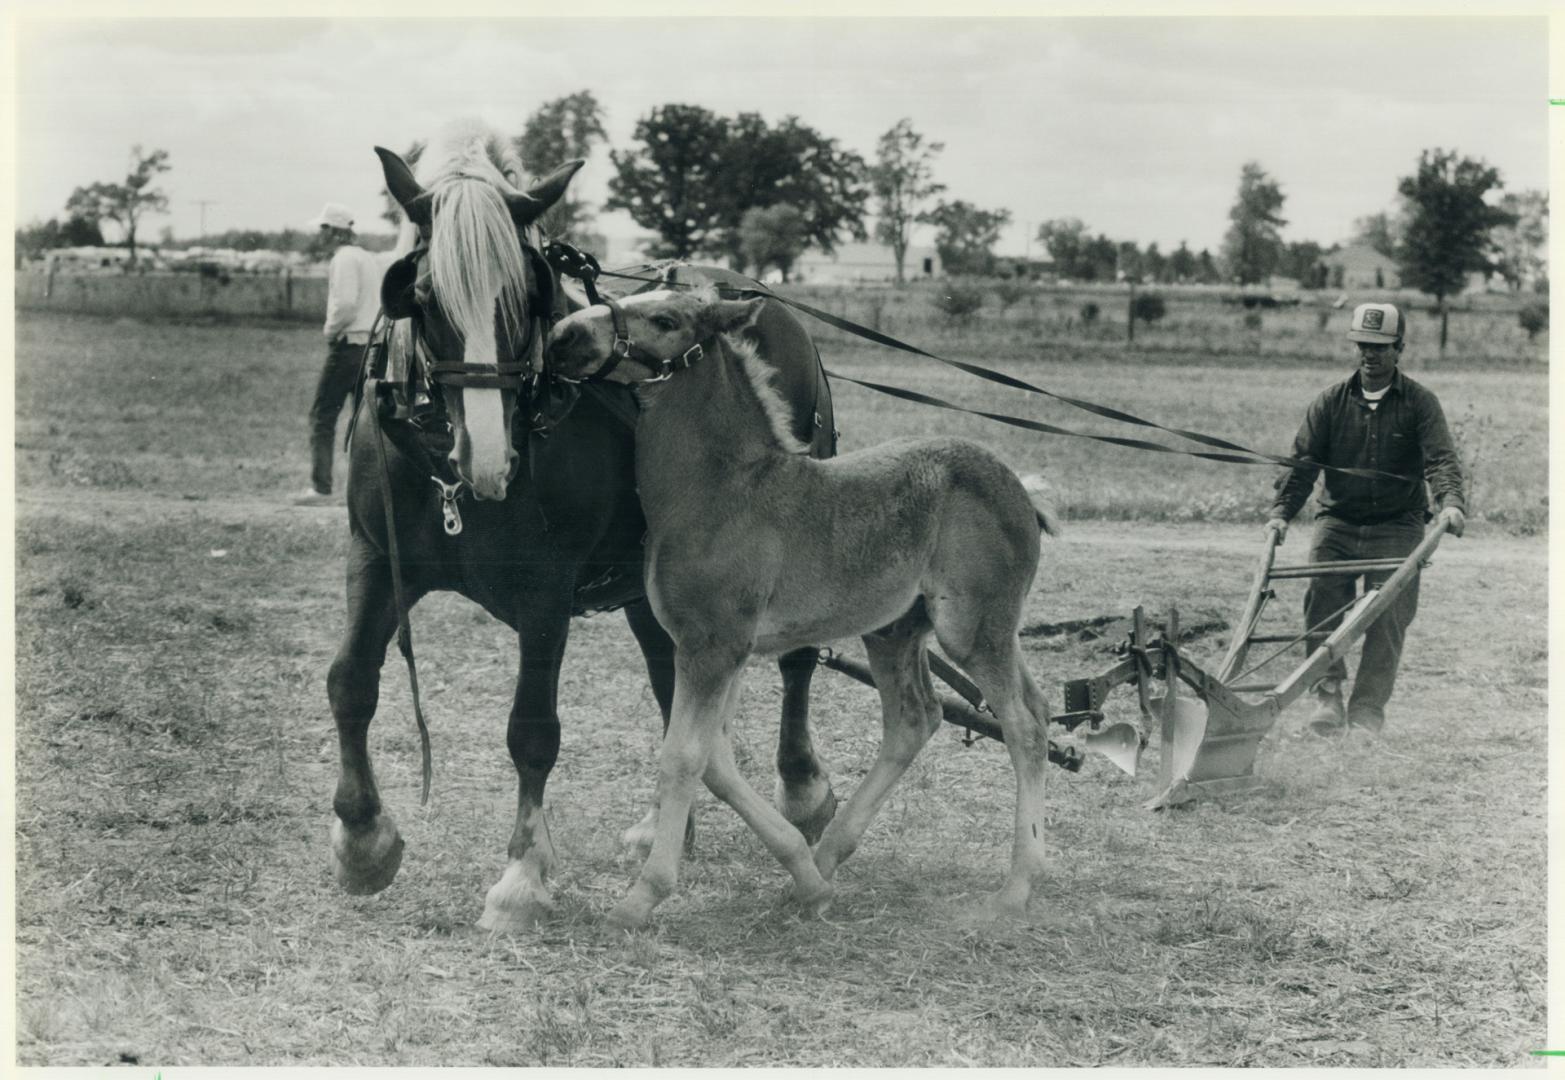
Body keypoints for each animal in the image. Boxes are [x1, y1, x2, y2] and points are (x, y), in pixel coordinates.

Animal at [328, 122, 838, 926]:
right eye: (423, 295)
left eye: (525, 293)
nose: (488, 455)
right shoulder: (376, 559)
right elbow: (351, 682)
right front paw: (362, 840)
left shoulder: (545, 589)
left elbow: (532, 729)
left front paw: (521, 876)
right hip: (657, 584)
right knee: (670, 682)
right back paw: (667, 826)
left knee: (795, 663)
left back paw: (802, 788)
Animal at [547, 286, 1064, 926]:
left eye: (664, 318)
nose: (563, 336)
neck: (720, 491)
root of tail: (1022, 491)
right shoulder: (722, 650)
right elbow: (715, 759)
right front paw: (806, 879)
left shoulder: (712, 646)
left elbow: (683, 759)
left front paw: (641, 898)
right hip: (902, 629)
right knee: (928, 716)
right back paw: (829, 857)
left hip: (972, 627)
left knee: (1023, 725)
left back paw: (1016, 887)